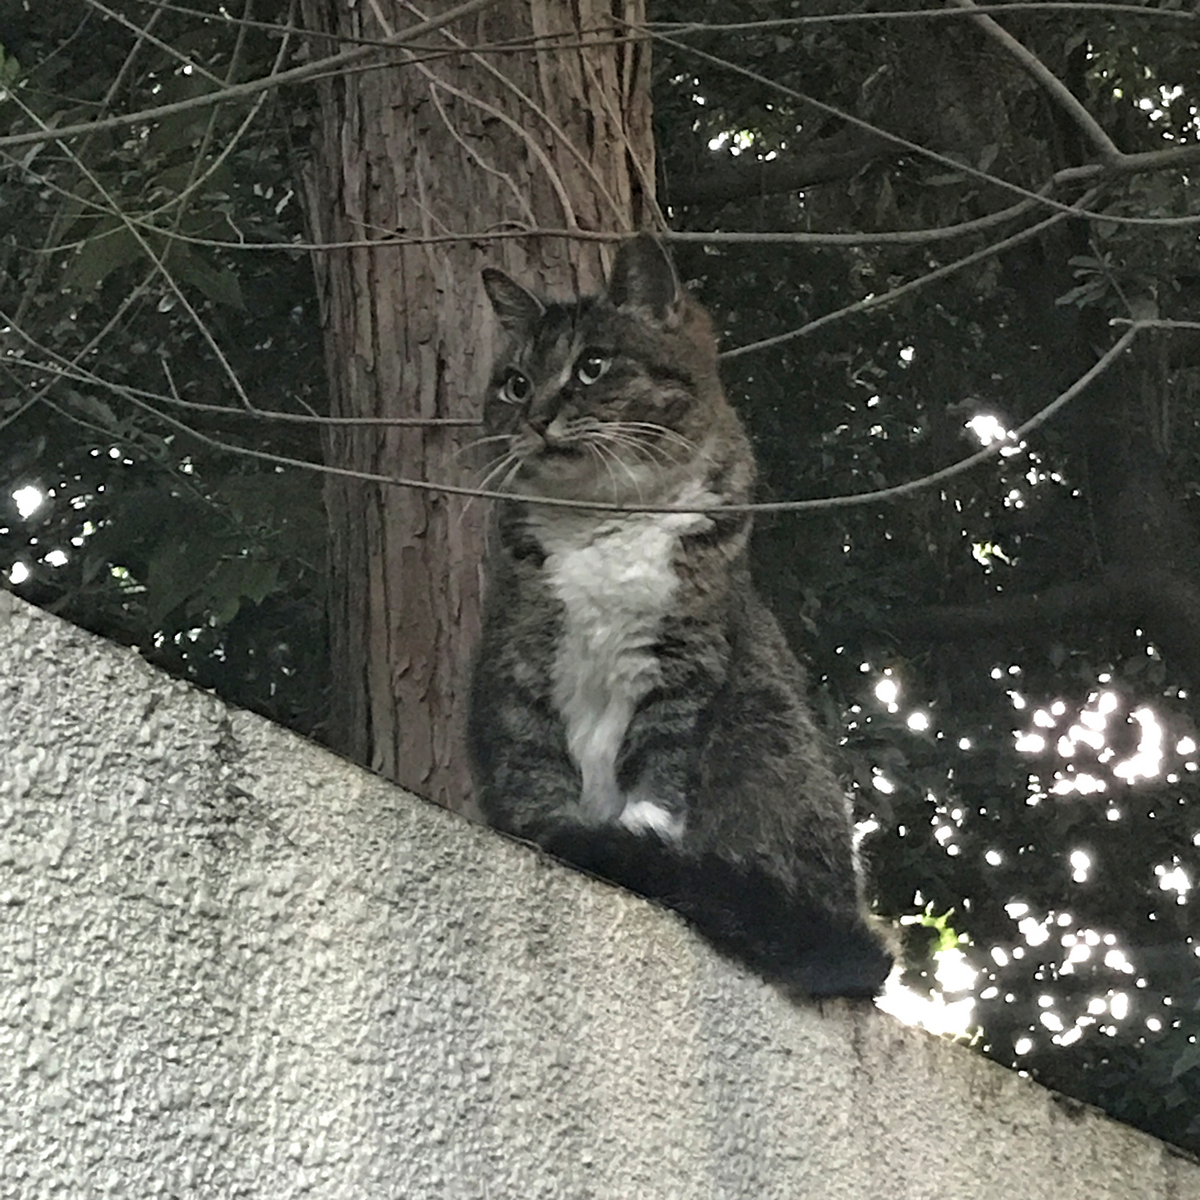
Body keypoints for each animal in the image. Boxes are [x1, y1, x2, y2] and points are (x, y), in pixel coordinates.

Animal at [468, 235, 892, 999]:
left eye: (592, 366)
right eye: (515, 382)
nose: (534, 415)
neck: (602, 519)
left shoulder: (685, 657)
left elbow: (663, 755)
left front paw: (632, 841)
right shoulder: (521, 653)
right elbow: (531, 754)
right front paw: (553, 832)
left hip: (765, 733)